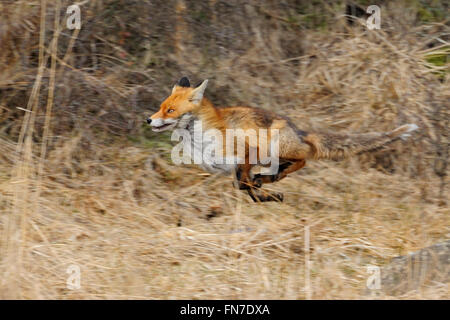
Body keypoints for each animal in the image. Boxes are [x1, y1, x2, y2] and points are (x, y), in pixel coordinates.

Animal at [148, 77, 418, 202]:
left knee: (305, 156)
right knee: (285, 166)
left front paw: (268, 196)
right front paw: (264, 196)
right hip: (271, 156)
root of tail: (298, 130)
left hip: (274, 147)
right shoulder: (232, 168)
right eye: (161, 107)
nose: (148, 120)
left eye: (170, 111)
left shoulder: (248, 153)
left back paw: (275, 177)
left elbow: (243, 184)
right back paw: (270, 179)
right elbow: (243, 185)